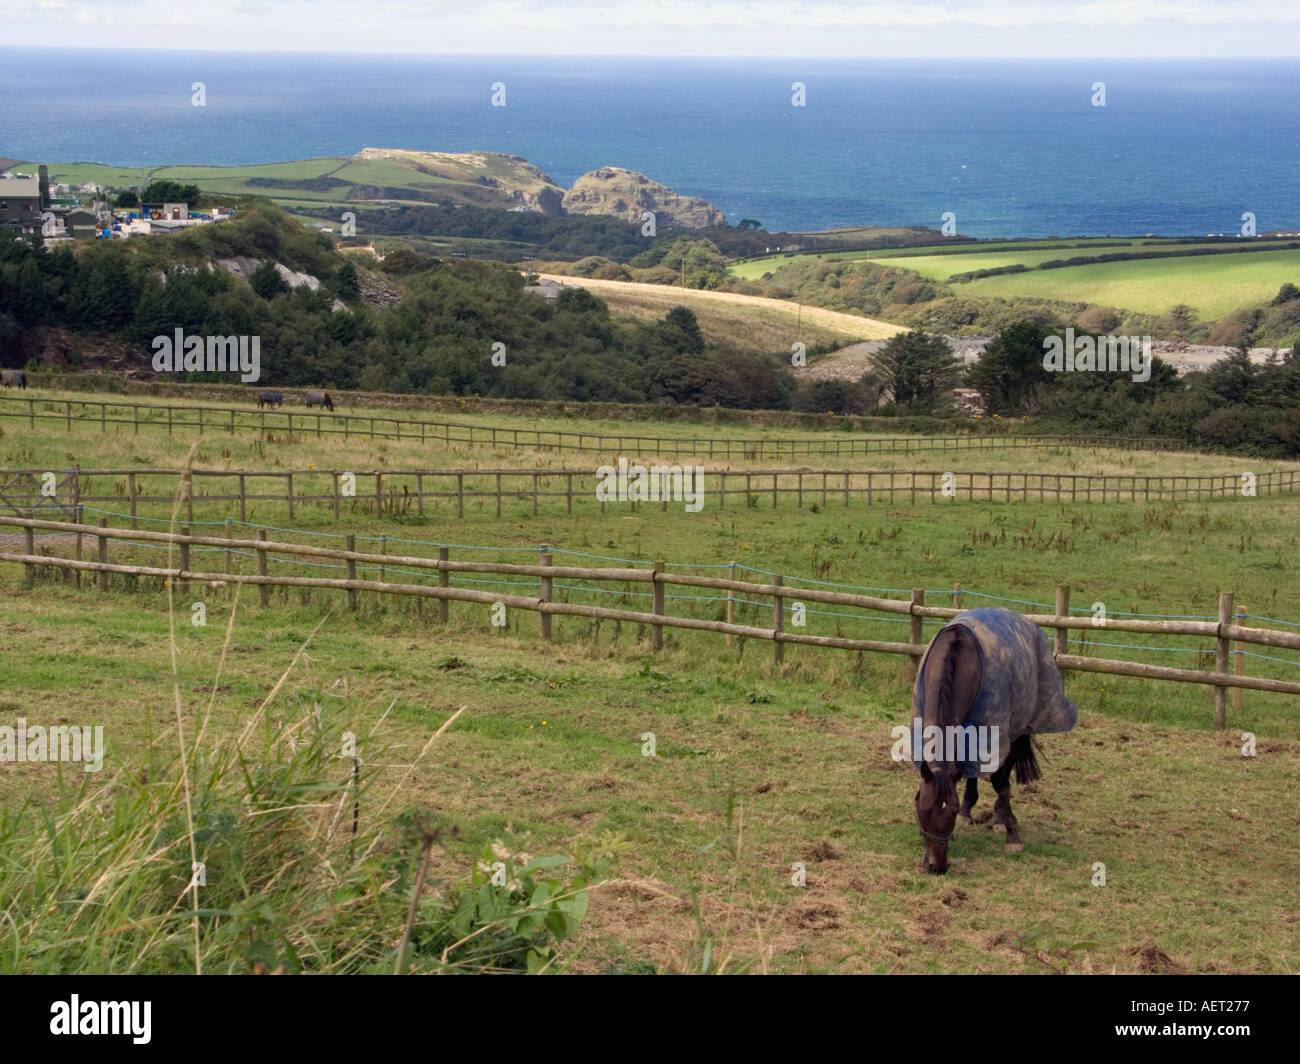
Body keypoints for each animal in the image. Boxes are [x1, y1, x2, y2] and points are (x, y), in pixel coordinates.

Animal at [911, 607, 1078, 874]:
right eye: (924, 810)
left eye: (950, 810)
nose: (938, 865)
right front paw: (965, 814)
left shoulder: (994, 731)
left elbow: (1000, 781)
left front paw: (1012, 836)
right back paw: (971, 811)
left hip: (1016, 726)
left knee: (1005, 768)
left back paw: (1000, 817)